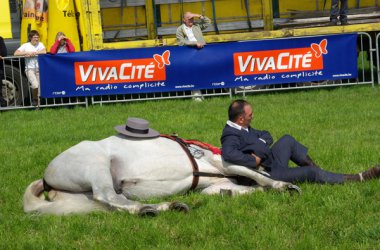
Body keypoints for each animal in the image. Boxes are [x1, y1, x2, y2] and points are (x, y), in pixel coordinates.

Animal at [23, 135, 300, 215]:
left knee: (114, 204)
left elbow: (242, 188)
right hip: (97, 166)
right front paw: (284, 185)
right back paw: (151, 209)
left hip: (81, 201)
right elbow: (254, 174)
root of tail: (47, 178)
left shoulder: (215, 184)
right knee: (108, 196)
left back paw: (164, 207)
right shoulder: (224, 164)